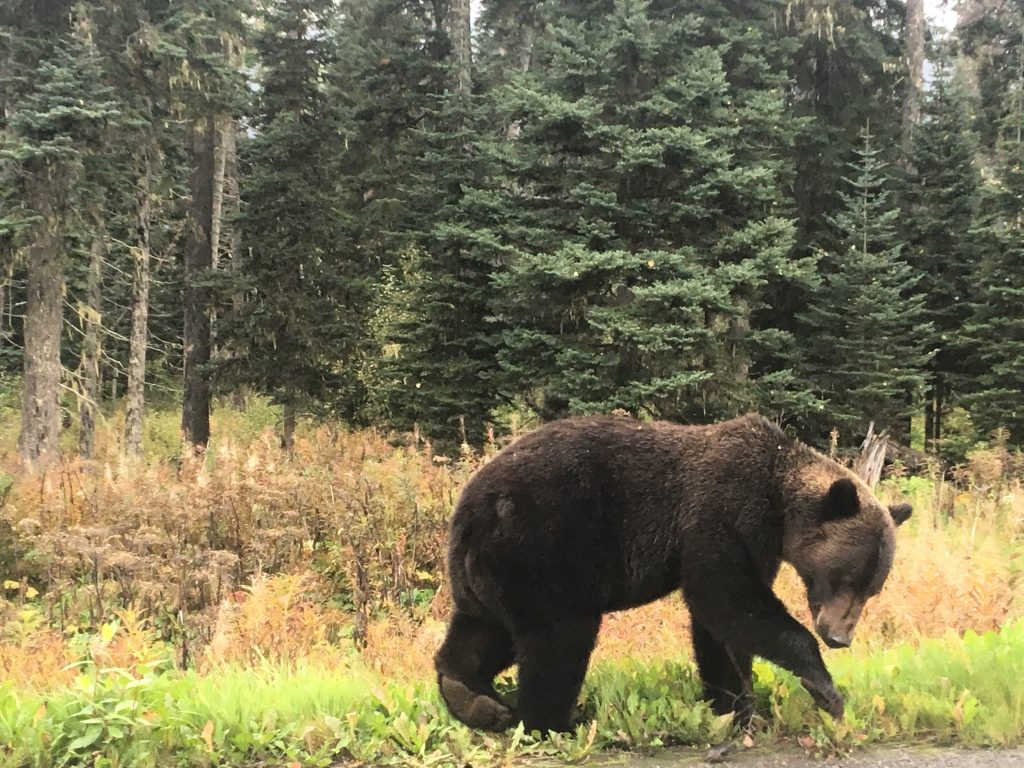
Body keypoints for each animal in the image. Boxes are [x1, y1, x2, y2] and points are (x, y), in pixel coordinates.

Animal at [434, 414, 913, 734]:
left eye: (872, 589)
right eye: (844, 577)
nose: (839, 636)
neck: (778, 505)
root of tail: (468, 511)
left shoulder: (753, 543)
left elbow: (720, 627)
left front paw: (734, 705)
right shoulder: (722, 510)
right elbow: (725, 597)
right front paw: (825, 689)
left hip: (492, 574)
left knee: (483, 631)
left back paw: (474, 699)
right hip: (546, 549)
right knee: (559, 639)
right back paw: (553, 721)